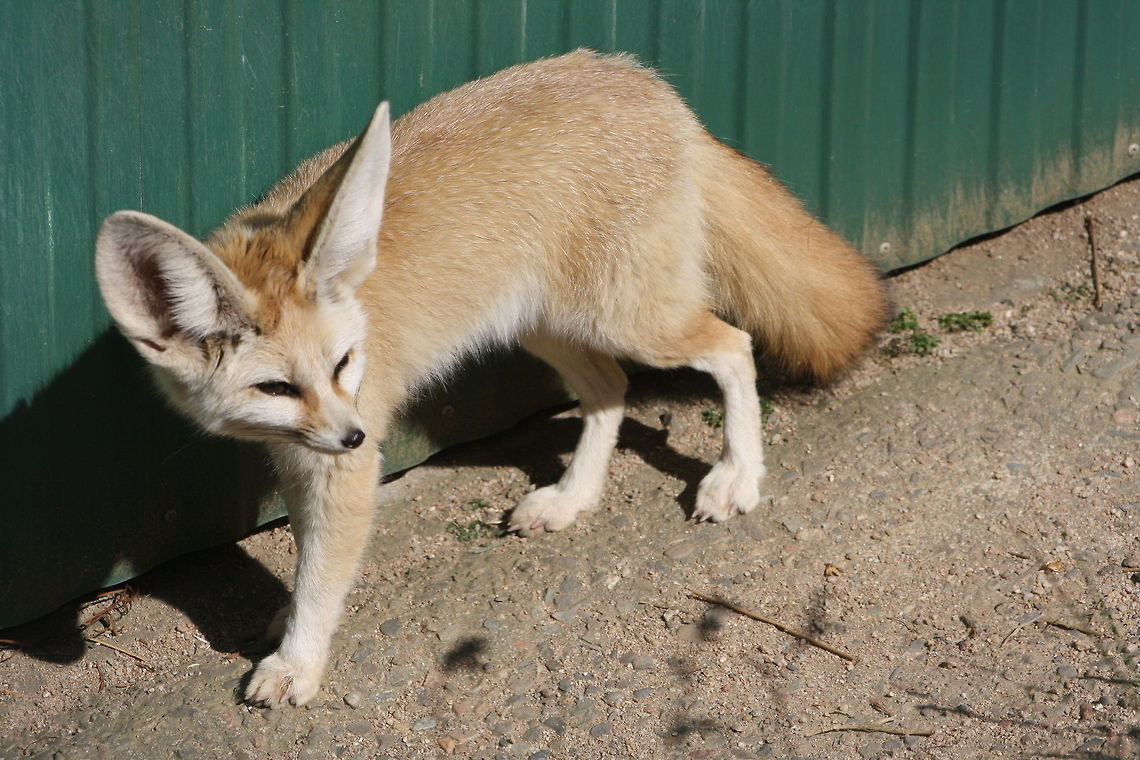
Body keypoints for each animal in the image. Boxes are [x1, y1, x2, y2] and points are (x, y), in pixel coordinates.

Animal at [95, 50, 886, 707]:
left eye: (345, 365)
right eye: (277, 390)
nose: (357, 437)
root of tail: (643, 79)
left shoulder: (341, 469)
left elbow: (323, 569)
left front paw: (300, 658)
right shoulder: (300, 455)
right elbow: (308, 556)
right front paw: (294, 617)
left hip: (631, 321)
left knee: (733, 346)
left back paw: (736, 475)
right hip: (551, 327)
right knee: (610, 390)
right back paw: (572, 498)